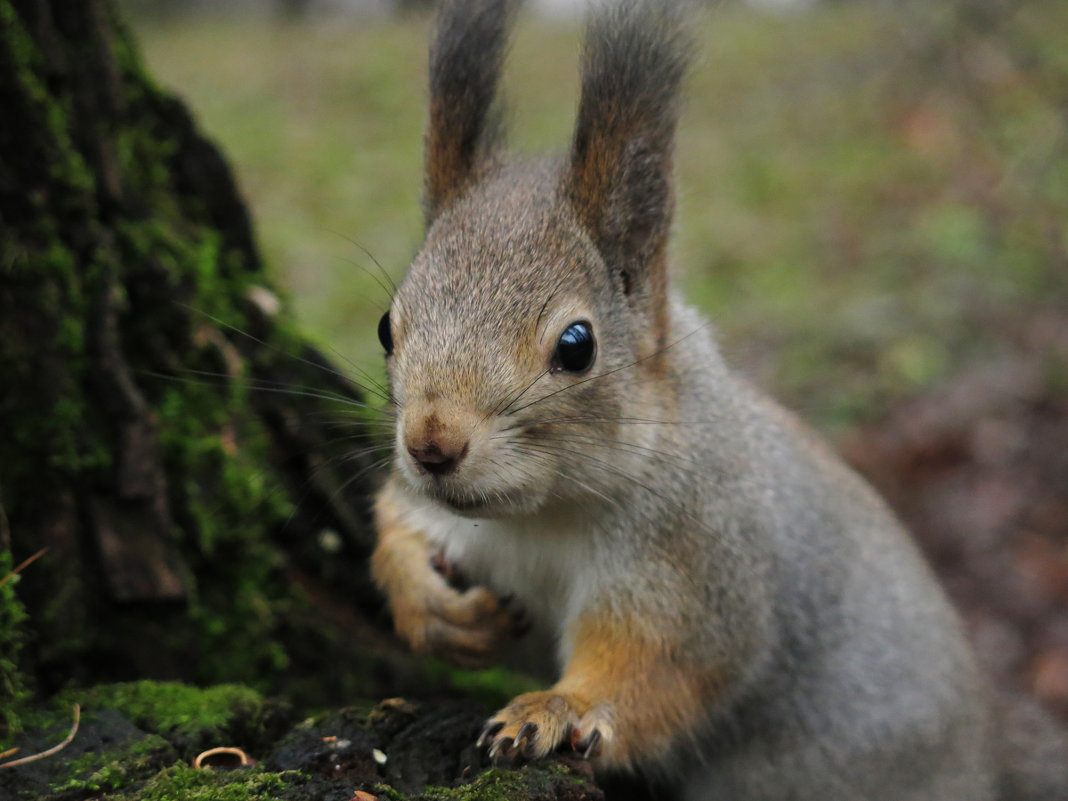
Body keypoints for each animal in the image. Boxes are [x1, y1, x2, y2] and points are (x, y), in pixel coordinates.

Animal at [369, 1, 1068, 801]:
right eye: (386, 325)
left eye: (576, 345)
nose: (432, 443)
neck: (540, 516)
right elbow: (394, 519)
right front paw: (426, 603)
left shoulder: (696, 554)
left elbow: (669, 658)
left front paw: (559, 708)